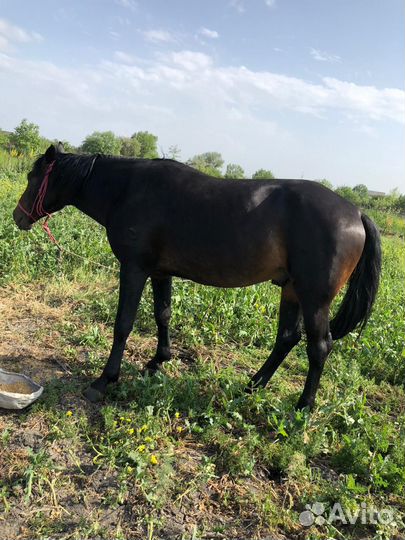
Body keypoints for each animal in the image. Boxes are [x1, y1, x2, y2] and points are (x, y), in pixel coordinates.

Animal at [12, 143, 378, 410]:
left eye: (33, 177)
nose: (18, 216)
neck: (128, 189)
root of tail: (356, 212)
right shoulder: (159, 272)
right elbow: (162, 314)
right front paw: (158, 361)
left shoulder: (134, 268)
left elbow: (123, 325)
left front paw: (105, 380)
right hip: (291, 290)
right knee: (287, 338)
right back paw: (252, 385)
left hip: (314, 298)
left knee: (319, 347)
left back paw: (303, 406)